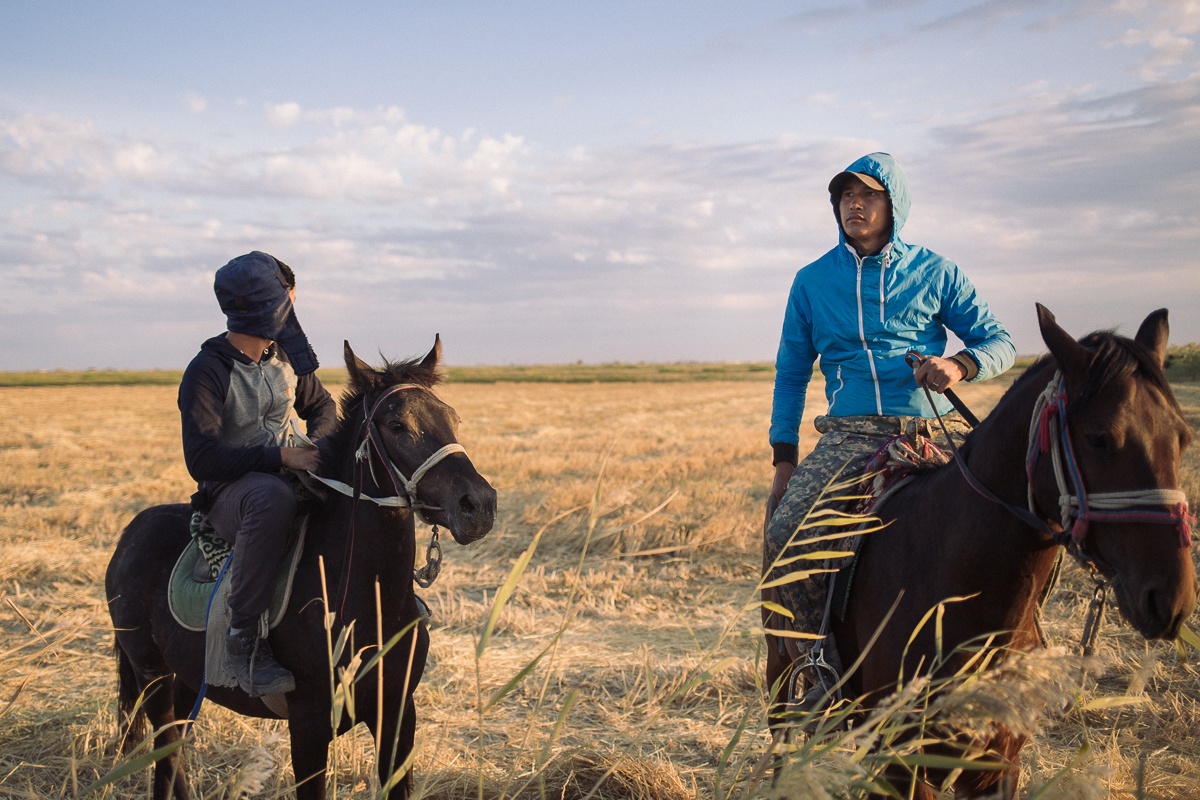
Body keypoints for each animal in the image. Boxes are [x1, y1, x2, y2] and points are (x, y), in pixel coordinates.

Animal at [104, 340, 496, 800]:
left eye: (452, 418)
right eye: (398, 424)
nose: (479, 504)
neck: (364, 602)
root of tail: (131, 532)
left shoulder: (399, 716)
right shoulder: (308, 727)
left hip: (186, 681)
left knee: (173, 756)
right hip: (153, 679)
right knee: (166, 753)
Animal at [763, 304, 1195, 796]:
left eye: (1182, 438)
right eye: (1099, 438)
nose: (1171, 598)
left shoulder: (997, 765)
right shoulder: (901, 763)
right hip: (781, 671)